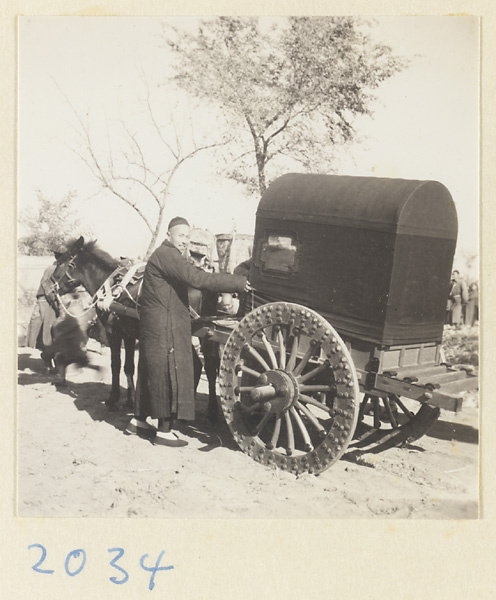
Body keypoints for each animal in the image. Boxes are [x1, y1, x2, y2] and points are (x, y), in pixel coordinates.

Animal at [51, 237, 140, 410]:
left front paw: (113, 398)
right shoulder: (128, 335)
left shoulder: (113, 334)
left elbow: (116, 365)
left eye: (59, 263)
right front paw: (130, 400)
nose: (51, 289)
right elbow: (129, 367)